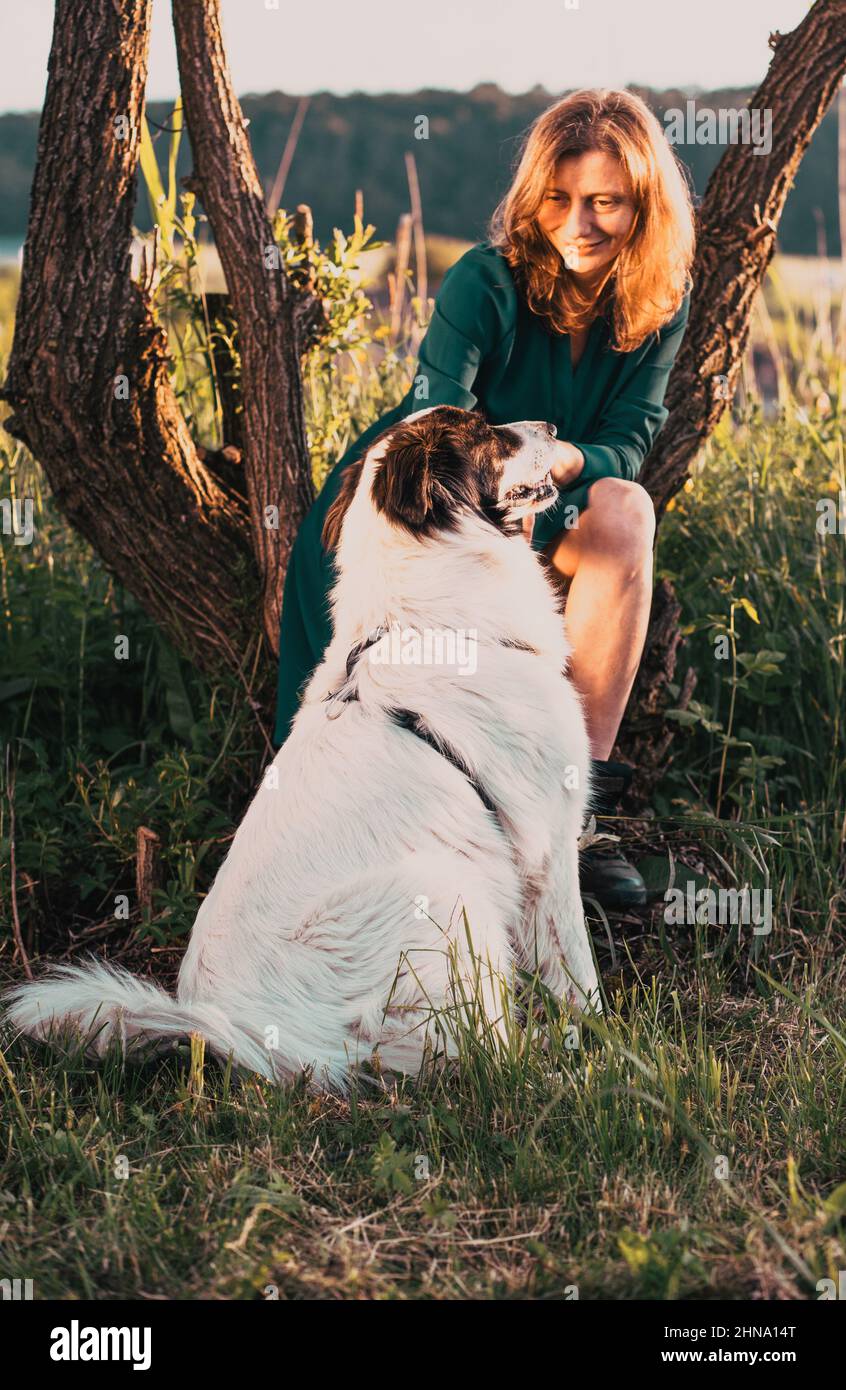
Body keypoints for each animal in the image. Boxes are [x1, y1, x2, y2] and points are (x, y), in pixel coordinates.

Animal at [4, 405, 600, 1089]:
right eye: (485, 432)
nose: (552, 428)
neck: (427, 622)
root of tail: (263, 1043)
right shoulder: (549, 842)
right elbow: (579, 971)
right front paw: (607, 1045)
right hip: (443, 887)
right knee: (478, 1049)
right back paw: (546, 1068)